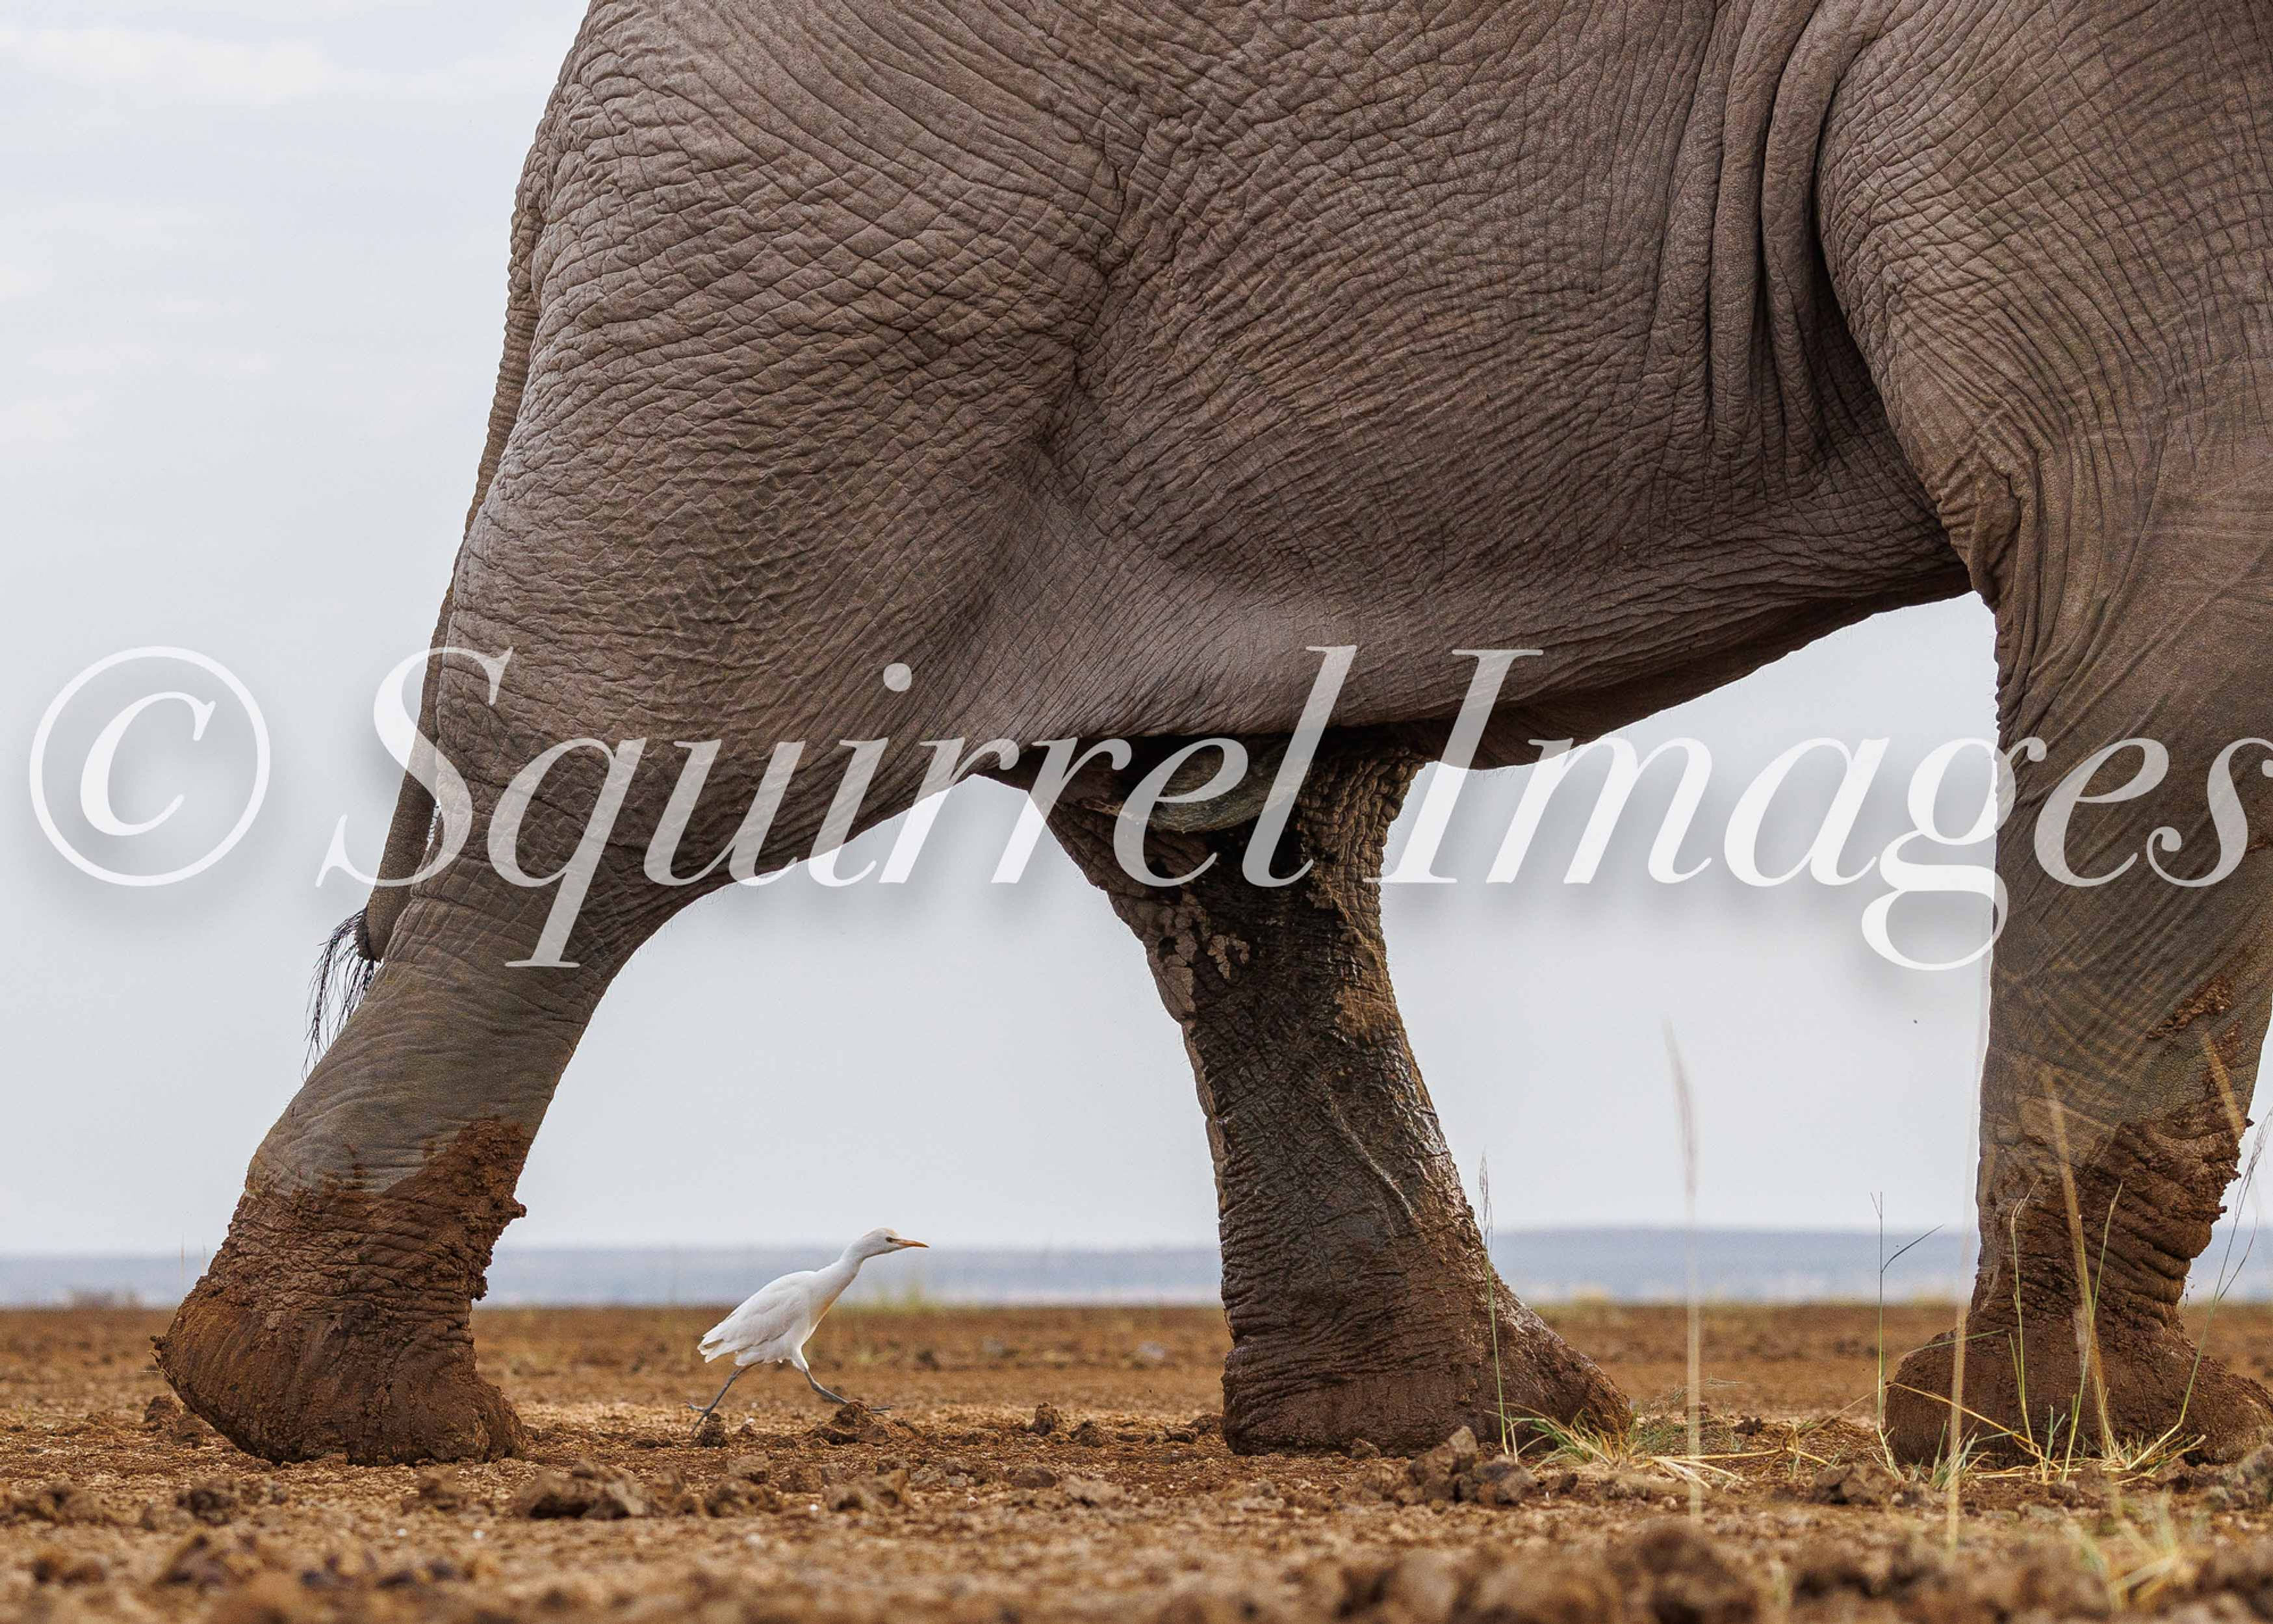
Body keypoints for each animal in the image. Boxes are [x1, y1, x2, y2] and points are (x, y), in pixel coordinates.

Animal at [155, 0, 2273, 1466]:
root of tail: (558, 138)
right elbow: (2174, 572)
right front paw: (2092, 1439)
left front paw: (2065, 1426)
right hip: (834, 279)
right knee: (645, 763)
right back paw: (344, 1414)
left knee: (1243, 826)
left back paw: (1458, 1419)